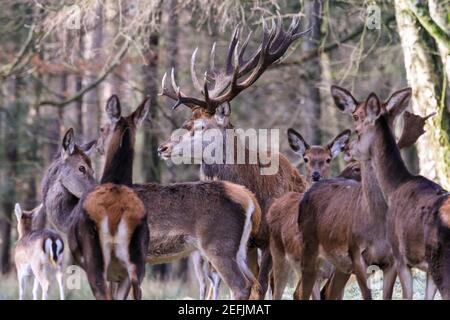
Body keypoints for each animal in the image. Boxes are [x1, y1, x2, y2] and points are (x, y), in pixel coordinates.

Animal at [96, 95, 264, 300]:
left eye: (102, 128)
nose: (96, 146)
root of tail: (250, 199)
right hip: (239, 250)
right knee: (255, 283)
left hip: (218, 245)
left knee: (240, 285)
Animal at [158, 16, 310, 298]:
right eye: (185, 121)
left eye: (201, 126)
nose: (162, 148)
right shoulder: (247, 243)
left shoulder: (269, 240)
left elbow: (262, 286)